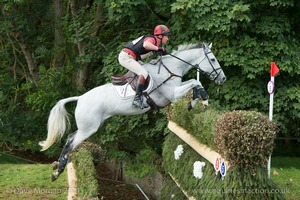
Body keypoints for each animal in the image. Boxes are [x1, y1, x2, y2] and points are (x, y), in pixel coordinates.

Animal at [39, 42, 225, 181]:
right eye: (213, 59)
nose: (223, 78)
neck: (171, 68)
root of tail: (81, 98)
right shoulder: (172, 94)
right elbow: (195, 81)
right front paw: (203, 99)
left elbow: (194, 83)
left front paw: (195, 102)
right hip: (89, 128)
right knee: (71, 142)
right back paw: (57, 172)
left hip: (88, 127)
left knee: (70, 138)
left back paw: (58, 169)